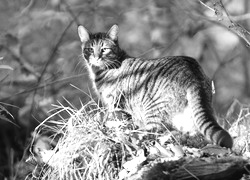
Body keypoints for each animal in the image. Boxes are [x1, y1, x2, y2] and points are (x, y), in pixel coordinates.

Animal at [77, 24, 232, 148]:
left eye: (104, 49)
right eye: (90, 49)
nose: (96, 57)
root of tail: (192, 73)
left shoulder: (116, 105)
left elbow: (119, 122)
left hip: (152, 108)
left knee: (156, 130)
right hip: (191, 113)